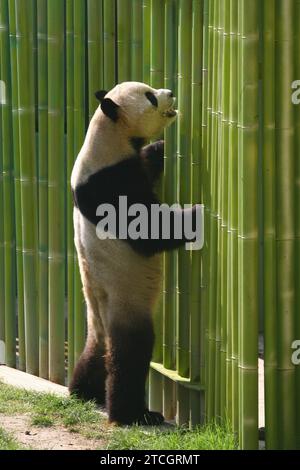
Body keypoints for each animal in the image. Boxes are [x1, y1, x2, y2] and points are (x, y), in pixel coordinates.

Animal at [69, 81, 197, 426]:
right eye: (151, 98)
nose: (170, 93)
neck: (107, 133)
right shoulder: (109, 182)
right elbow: (147, 231)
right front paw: (196, 216)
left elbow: (147, 160)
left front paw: (161, 148)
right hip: (127, 302)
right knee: (131, 356)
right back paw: (133, 414)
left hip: (97, 316)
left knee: (96, 351)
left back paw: (83, 391)